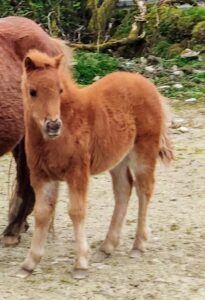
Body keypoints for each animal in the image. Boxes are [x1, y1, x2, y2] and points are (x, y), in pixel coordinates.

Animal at [18, 49, 173, 278]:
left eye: (60, 90)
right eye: (32, 91)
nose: (53, 125)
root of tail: (147, 84)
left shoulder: (77, 172)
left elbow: (77, 211)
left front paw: (81, 264)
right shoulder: (41, 176)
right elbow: (42, 213)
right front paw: (29, 263)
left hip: (143, 152)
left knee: (144, 190)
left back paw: (138, 245)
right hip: (118, 159)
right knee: (124, 190)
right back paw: (107, 247)